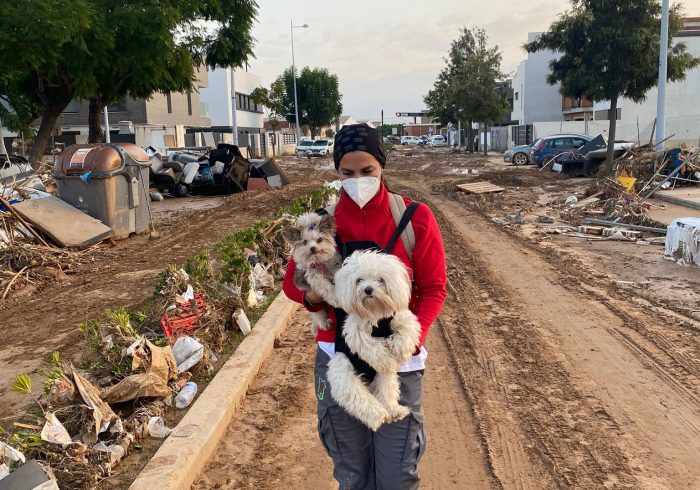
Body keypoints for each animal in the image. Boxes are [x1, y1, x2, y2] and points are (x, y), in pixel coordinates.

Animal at [322, 251, 422, 430]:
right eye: (359, 280)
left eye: (380, 280)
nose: (368, 289)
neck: (375, 311)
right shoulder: (354, 331)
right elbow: (370, 347)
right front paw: (386, 360)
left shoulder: (402, 318)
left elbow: (406, 332)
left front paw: (398, 352)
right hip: (346, 376)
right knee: (359, 399)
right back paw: (378, 415)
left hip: (384, 379)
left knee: (386, 393)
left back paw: (394, 411)